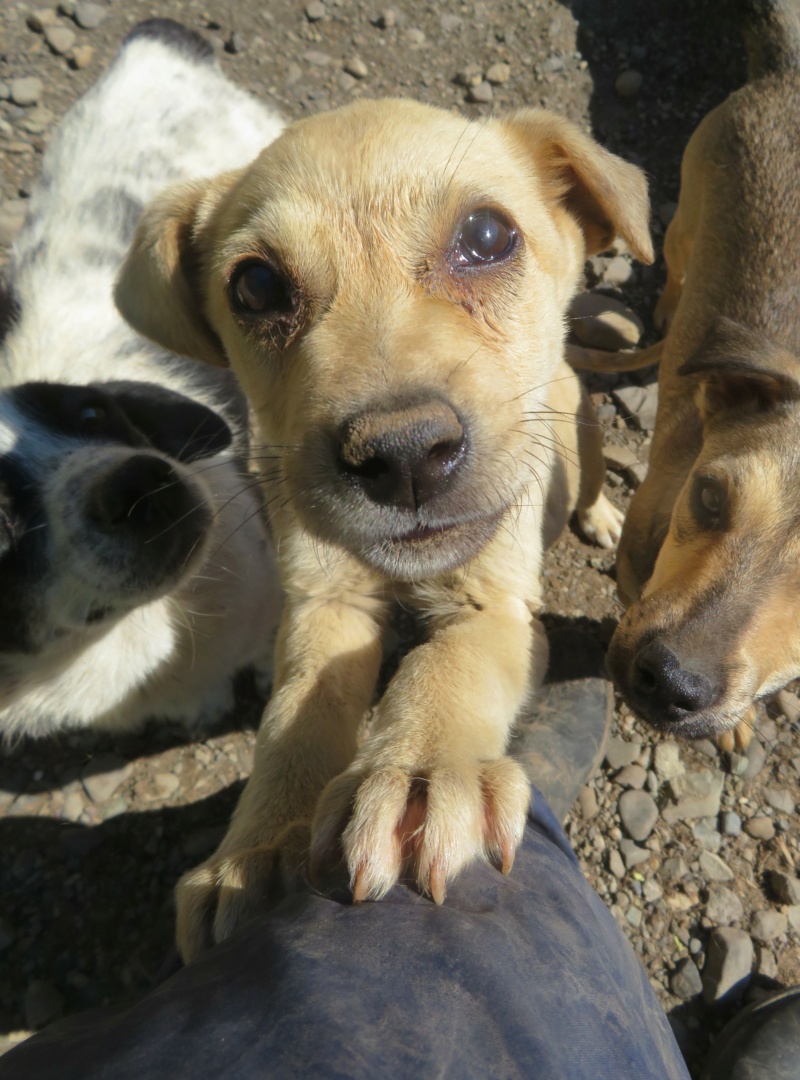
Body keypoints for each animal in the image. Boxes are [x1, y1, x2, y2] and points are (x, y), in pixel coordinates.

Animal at [115, 97, 647, 959]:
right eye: (256, 285)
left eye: (488, 236)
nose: (403, 456)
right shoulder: (324, 601)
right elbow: (294, 717)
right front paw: (255, 850)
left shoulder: (492, 604)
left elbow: (448, 667)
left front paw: (420, 775)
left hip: (585, 437)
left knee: (591, 481)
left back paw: (598, 517)